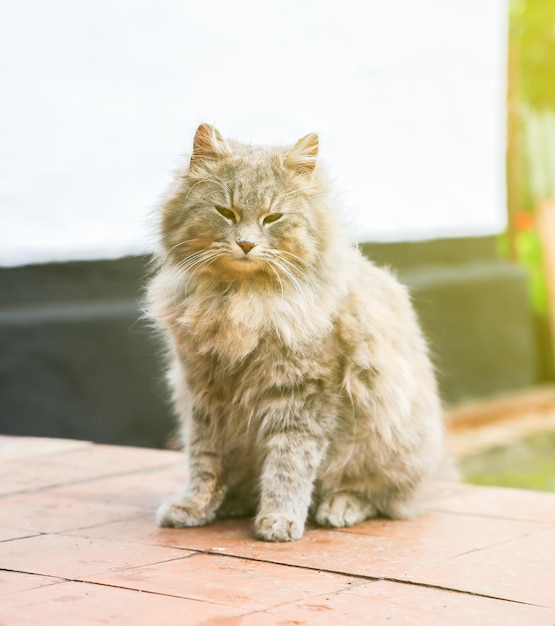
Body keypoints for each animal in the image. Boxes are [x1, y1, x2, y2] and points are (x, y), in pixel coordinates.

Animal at [149, 123, 448, 540]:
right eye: (226, 212)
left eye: (273, 218)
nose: (246, 243)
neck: (240, 300)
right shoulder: (203, 394)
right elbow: (204, 462)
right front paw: (194, 507)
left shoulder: (303, 394)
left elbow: (288, 464)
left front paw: (279, 520)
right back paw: (235, 502)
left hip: (387, 443)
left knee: (380, 497)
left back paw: (338, 507)